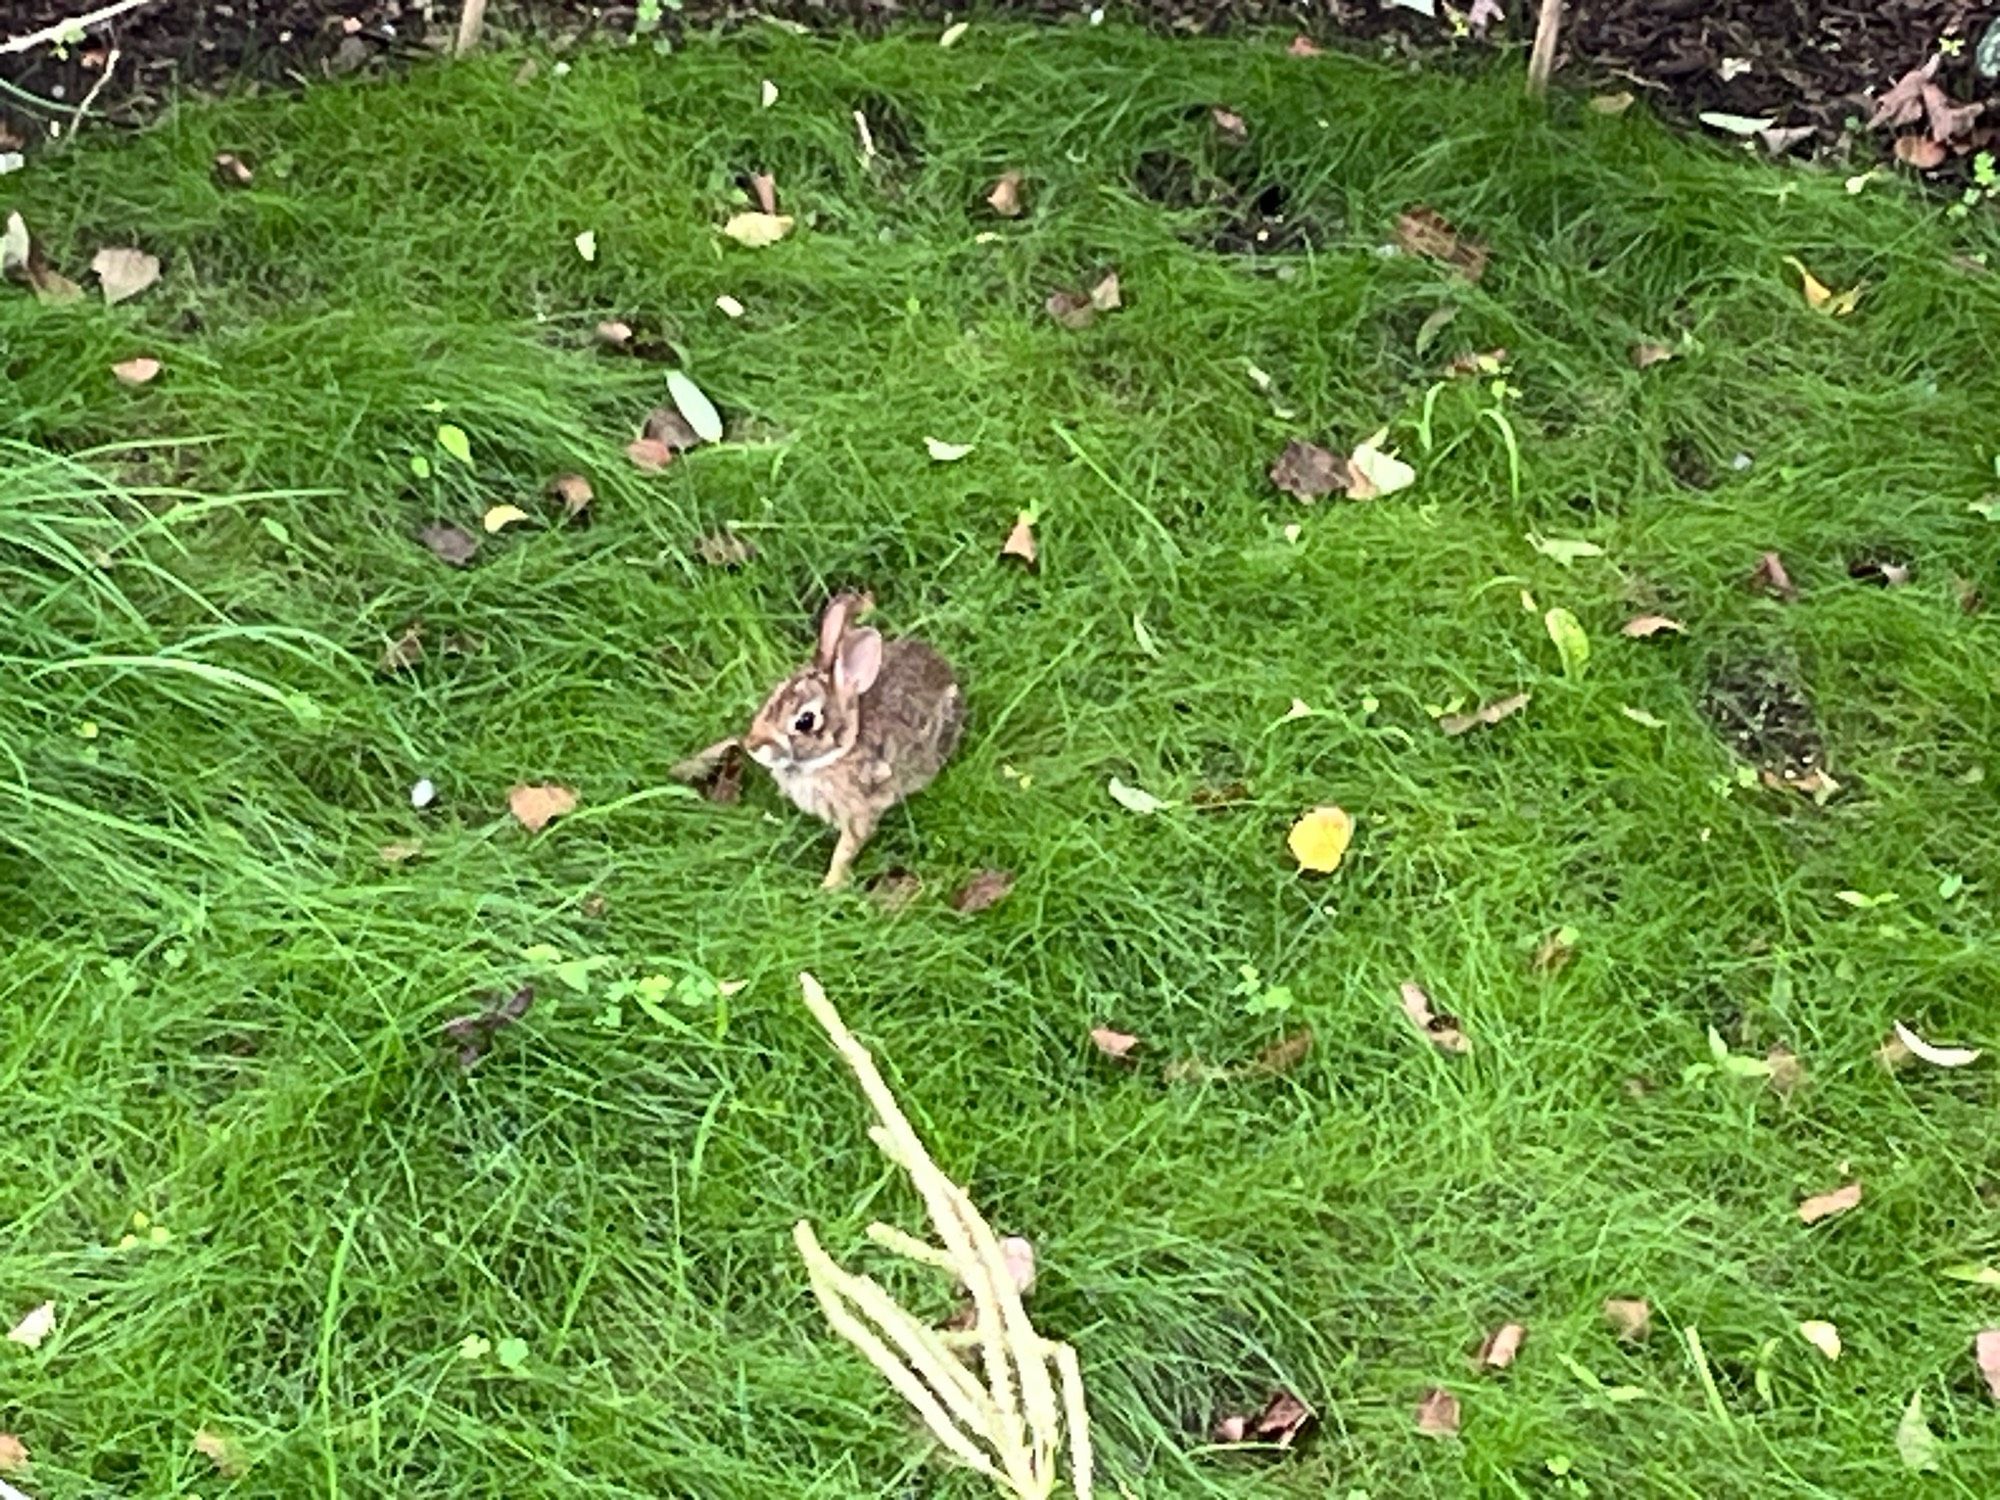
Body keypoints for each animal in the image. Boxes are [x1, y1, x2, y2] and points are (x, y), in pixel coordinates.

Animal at [740, 592, 972, 888]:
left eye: (805, 721)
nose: (752, 745)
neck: (838, 752)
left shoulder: (859, 811)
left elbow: (846, 849)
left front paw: (829, 887)